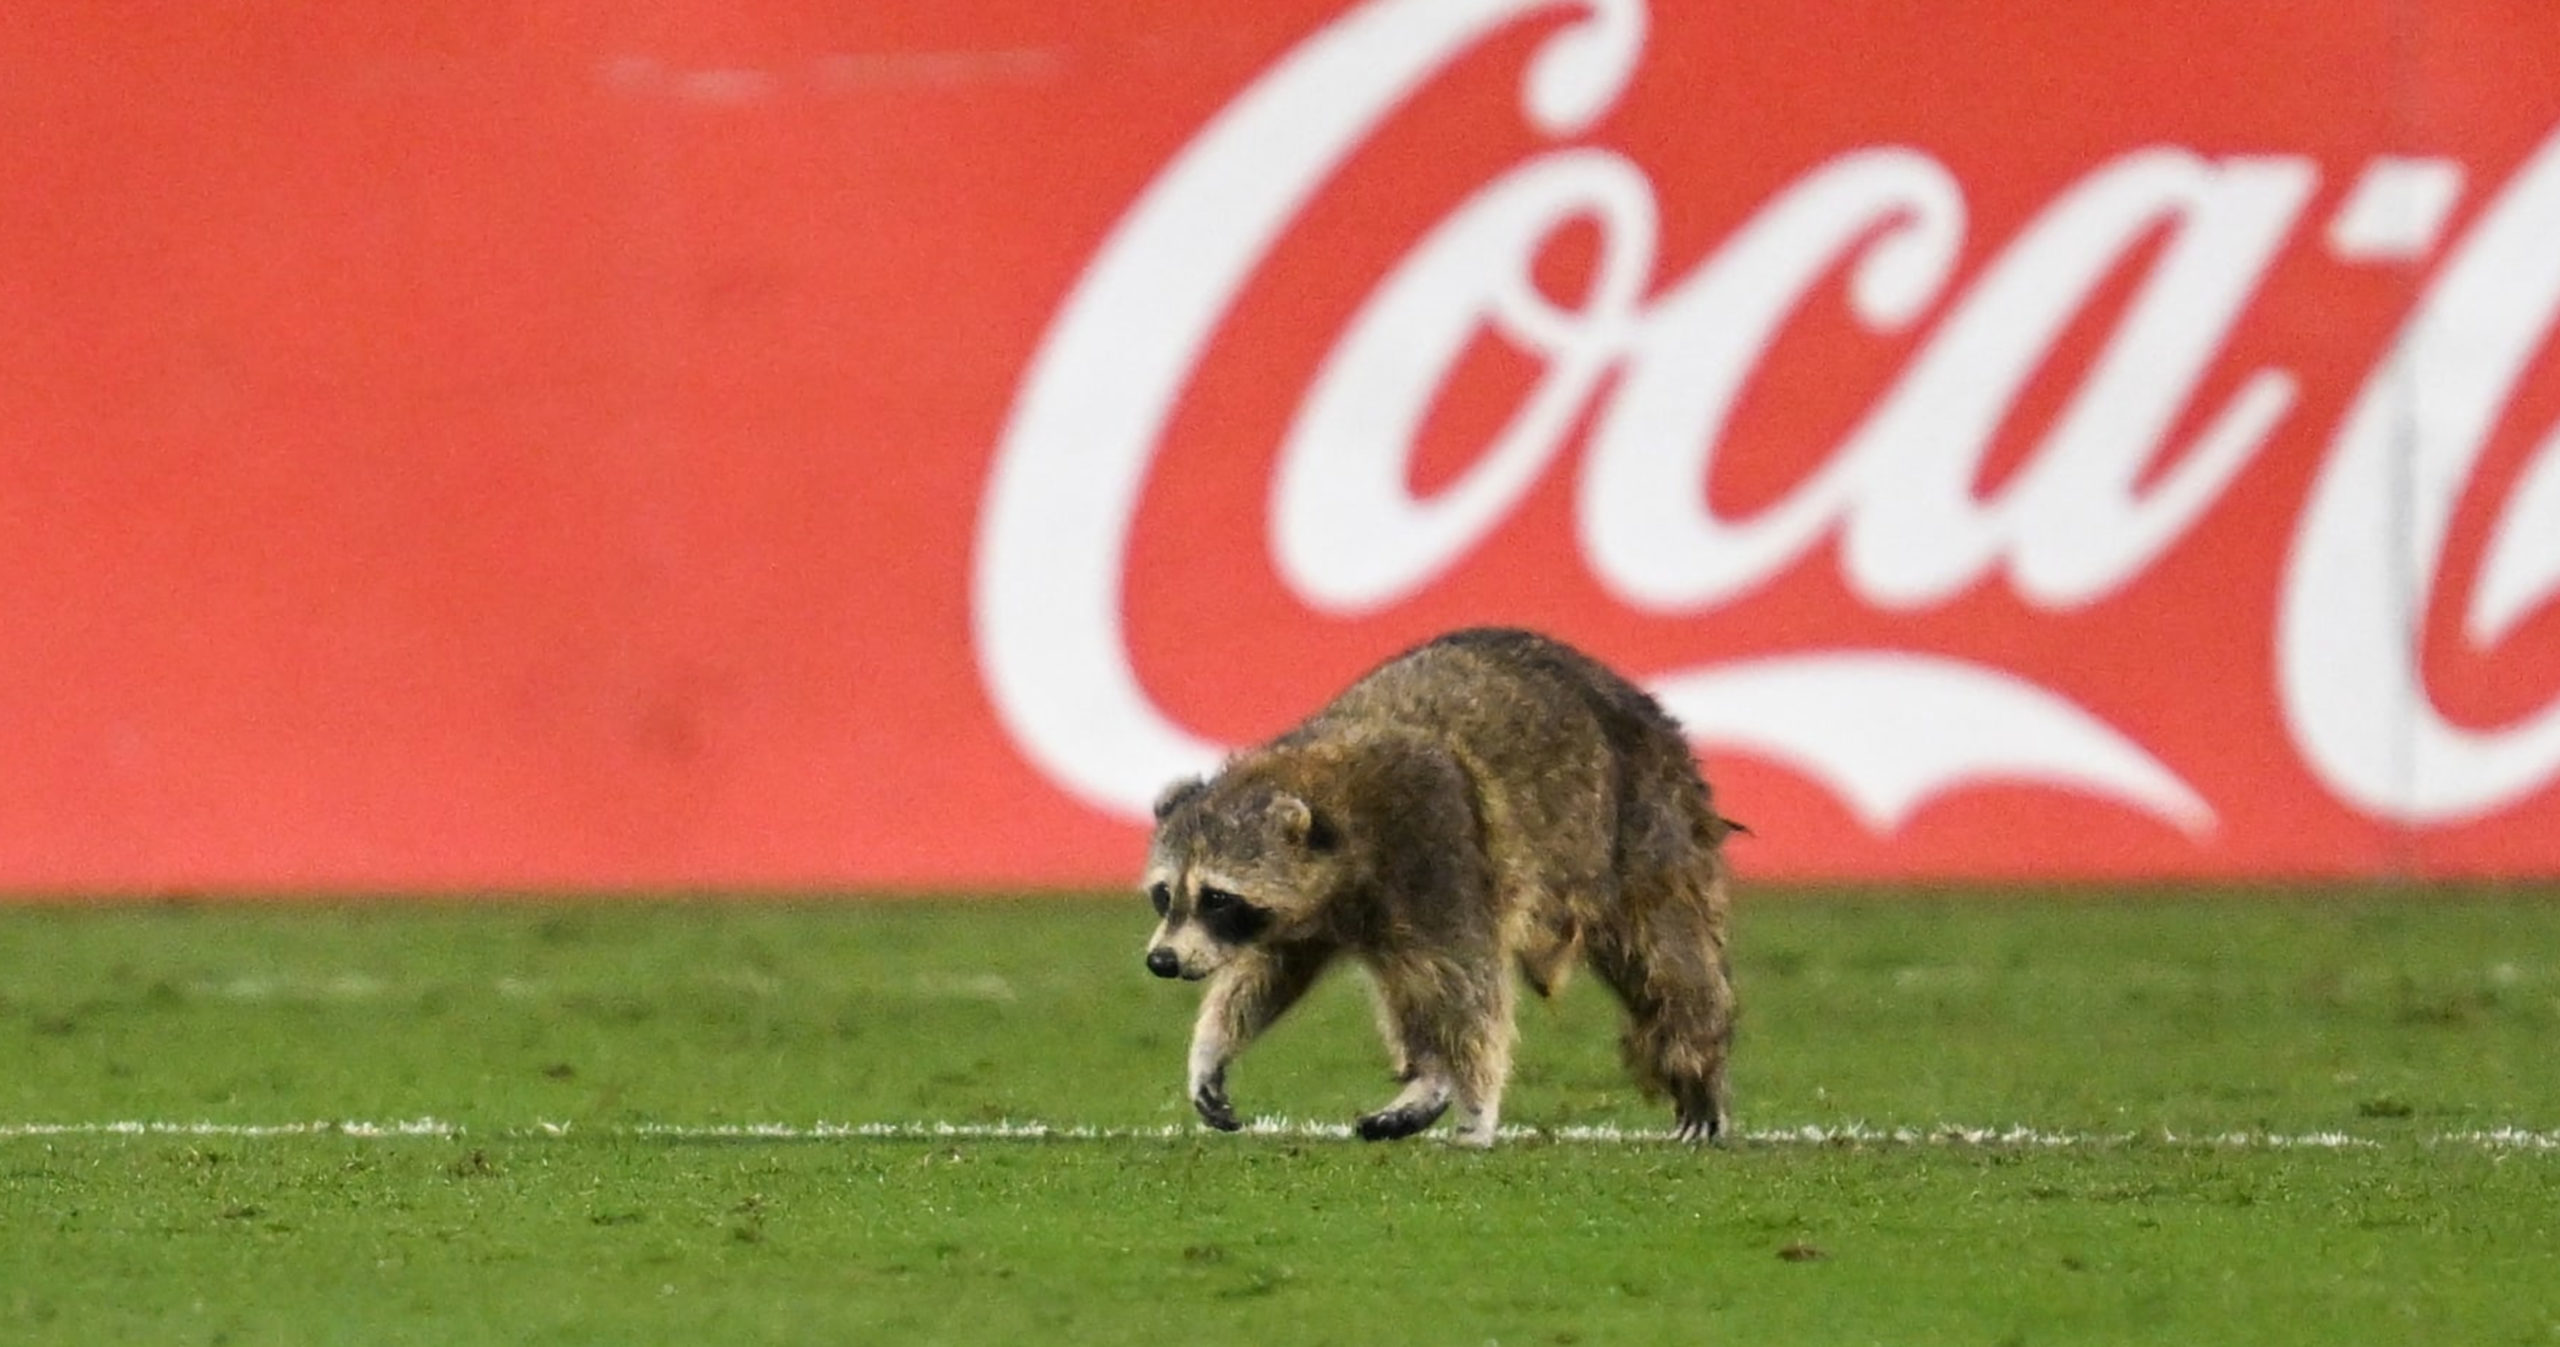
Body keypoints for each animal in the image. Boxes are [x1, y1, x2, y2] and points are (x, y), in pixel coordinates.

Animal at [1141, 635, 1740, 1152]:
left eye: (1216, 897)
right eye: (1164, 895)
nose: (1161, 960)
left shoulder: (1437, 846)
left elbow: (1469, 987)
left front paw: (1477, 1102)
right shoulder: (1301, 912)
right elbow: (1269, 972)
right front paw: (1212, 1047)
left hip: (1645, 821)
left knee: (1666, 958)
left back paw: (1696, 1060)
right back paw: (1426, 1078)